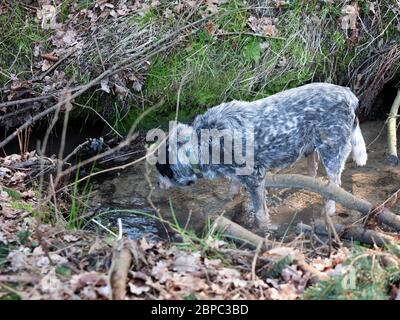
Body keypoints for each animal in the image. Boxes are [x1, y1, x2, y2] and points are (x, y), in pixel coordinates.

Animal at [155, 82, 368, 230]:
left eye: (161, 169)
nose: (157, 184)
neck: (201, 143)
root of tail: (350, 95)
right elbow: (233, 188)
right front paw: (226, 197)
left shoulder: (255, 178)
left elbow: (260, 213)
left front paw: (264, 228)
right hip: (312, 148)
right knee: (313, 171)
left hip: (331, 150)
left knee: (335, 184)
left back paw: (328, 209)